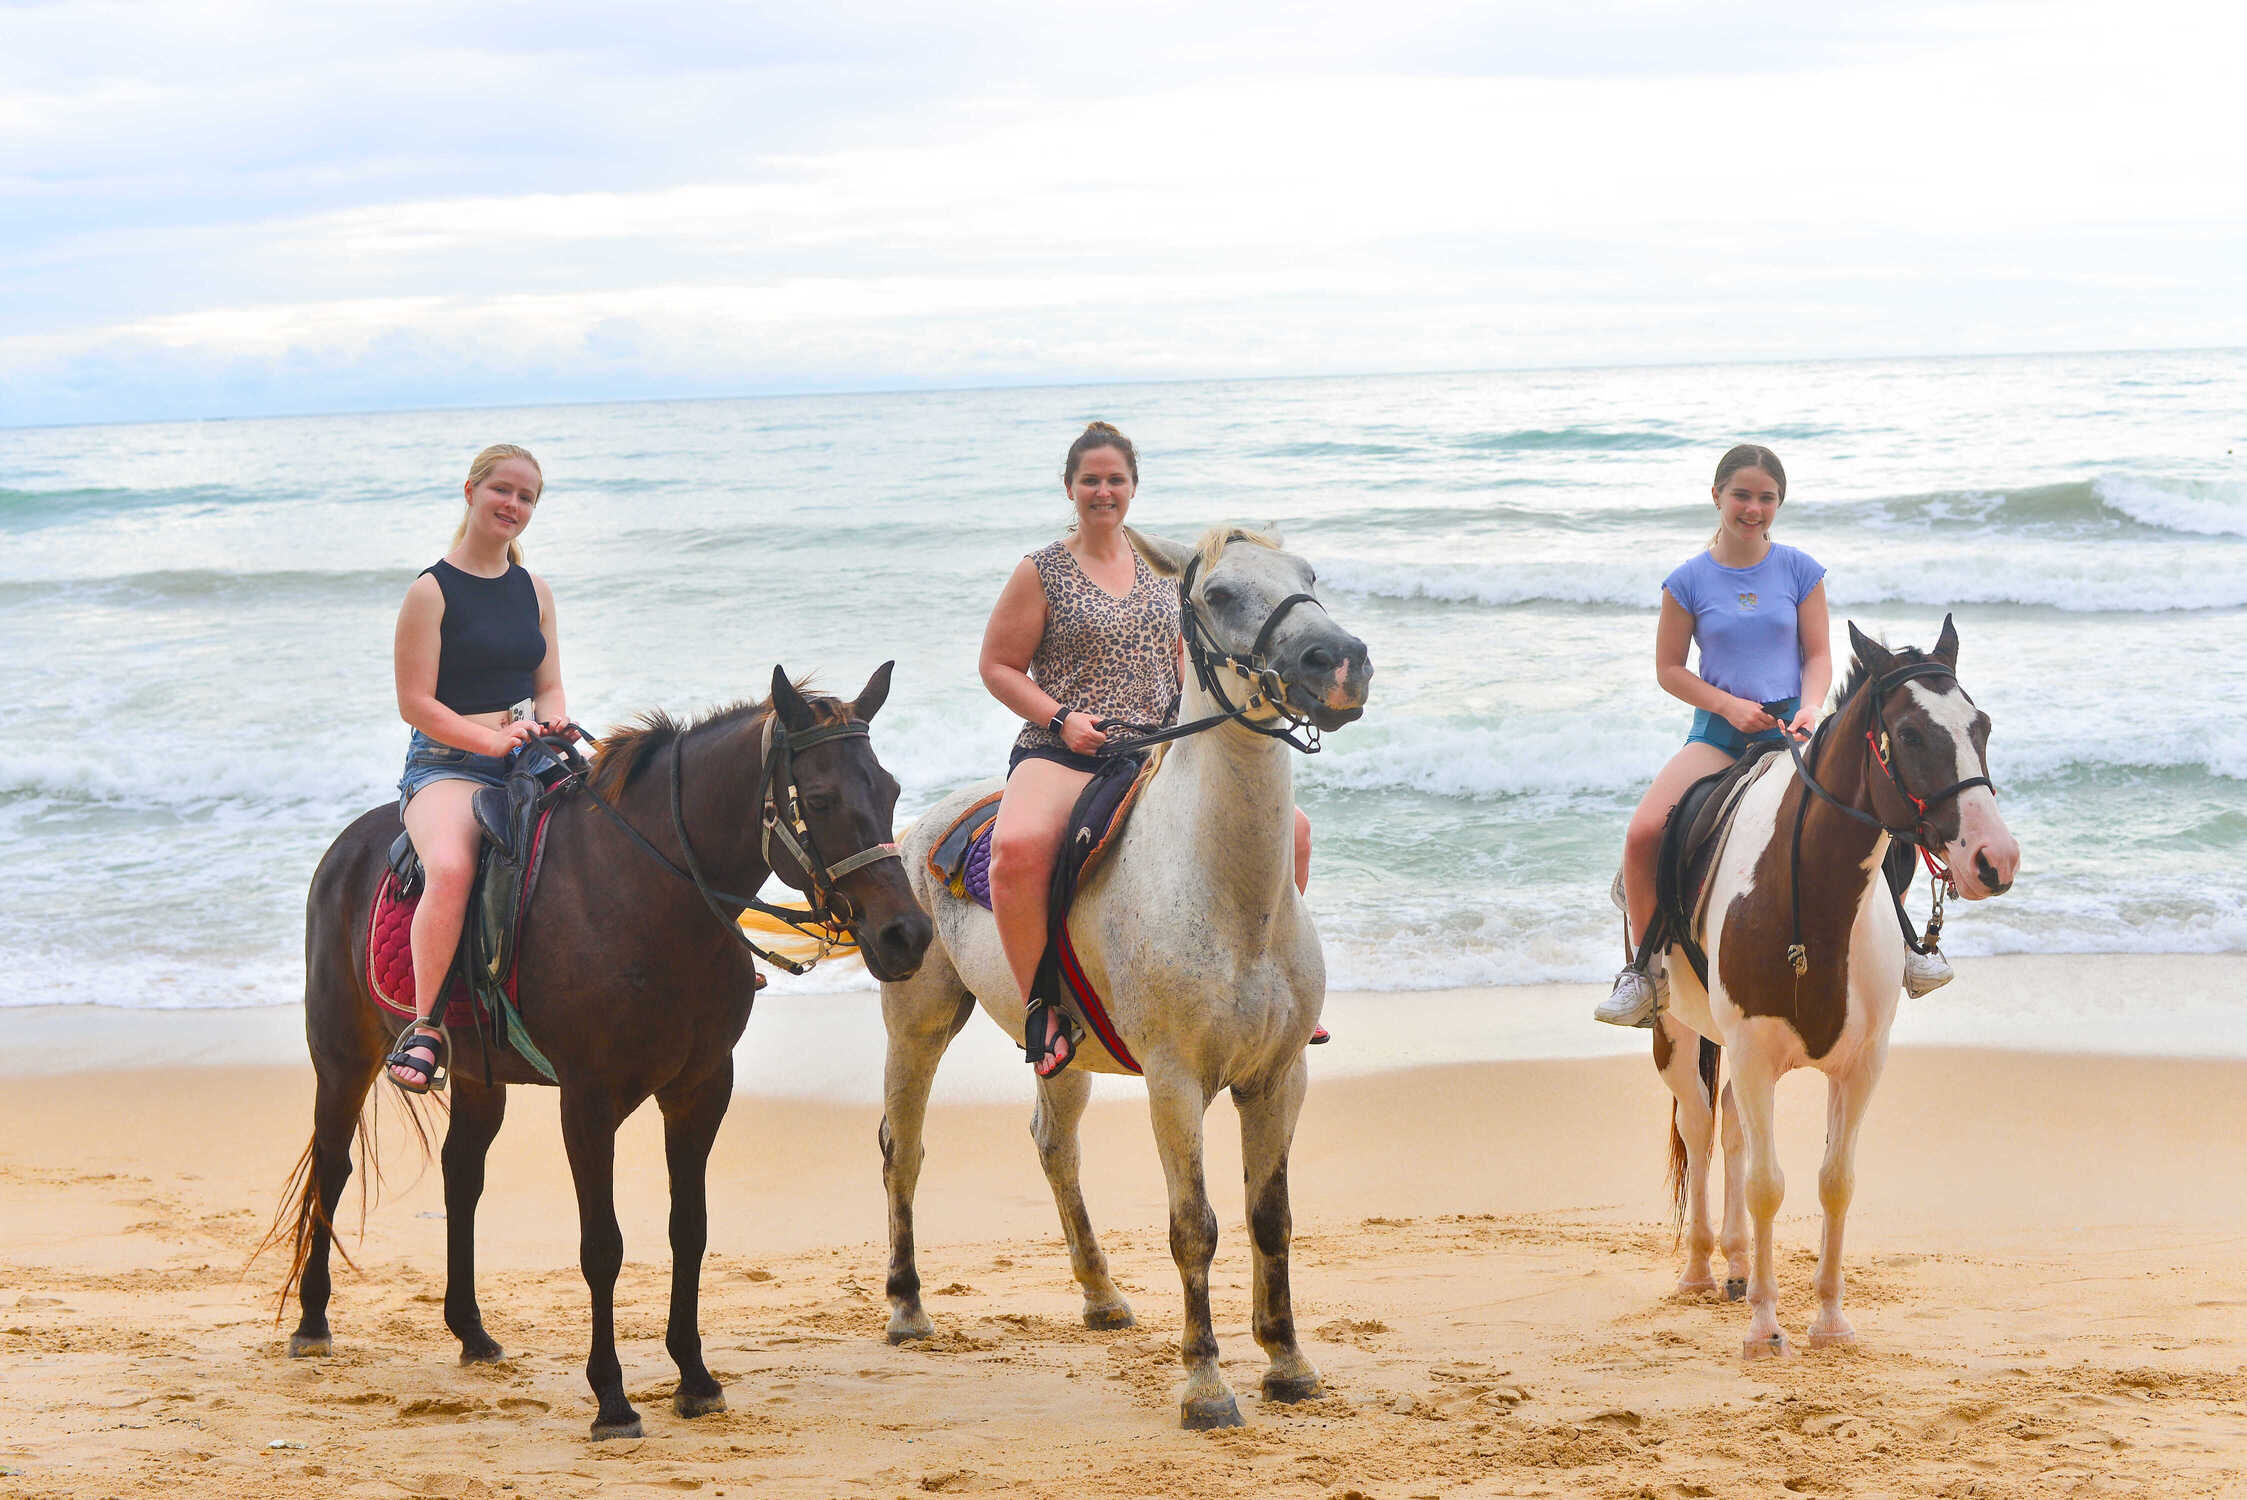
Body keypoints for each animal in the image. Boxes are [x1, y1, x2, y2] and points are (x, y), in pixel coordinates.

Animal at [278, 669, 930, 1437]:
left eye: (889, 790)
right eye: (822, 799)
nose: (907, 935)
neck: (648, 894)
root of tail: (348, 843)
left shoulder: (701, 1089)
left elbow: (689, 1230)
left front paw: (694, 1377)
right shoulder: (588, 1103)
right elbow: (602, 1246)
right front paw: (612, 1400)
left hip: (478, 1077)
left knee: (461, 1176)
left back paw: (470, 1331)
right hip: (342, 1057)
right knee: (333, 1166)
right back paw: (312, 1321)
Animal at [876, 525, 1366, 1428]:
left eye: (1309, 575)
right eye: (1218, 595)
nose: (1340, 660)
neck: (1226, 893)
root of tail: (923, 826)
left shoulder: (1278, 1076)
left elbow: (1270, 1219)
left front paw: (1286, 1361)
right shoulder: (1175, 1082)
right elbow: (1194, 1226)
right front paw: (1205, 1384)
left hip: (1058, 1054)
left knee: (1054, 1146)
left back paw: (1101, 1296)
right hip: (917, 1025)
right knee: (904, 1149)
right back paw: (906, 1306)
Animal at [1653, 619, 2022, 1356]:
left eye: (1982, 725)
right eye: (1909, 734)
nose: (1993, 860)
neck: (1809, 901)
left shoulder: (1859, 1065)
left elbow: (1835, 1182)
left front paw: (1827, 1320)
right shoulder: (1752, 1053)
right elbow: (1768, 1185)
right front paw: (1765, 1328)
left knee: (1728, 1127)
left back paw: (1736, 1264)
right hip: (1678, 1037)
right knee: (1699, 1126)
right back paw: (1702, 1267)